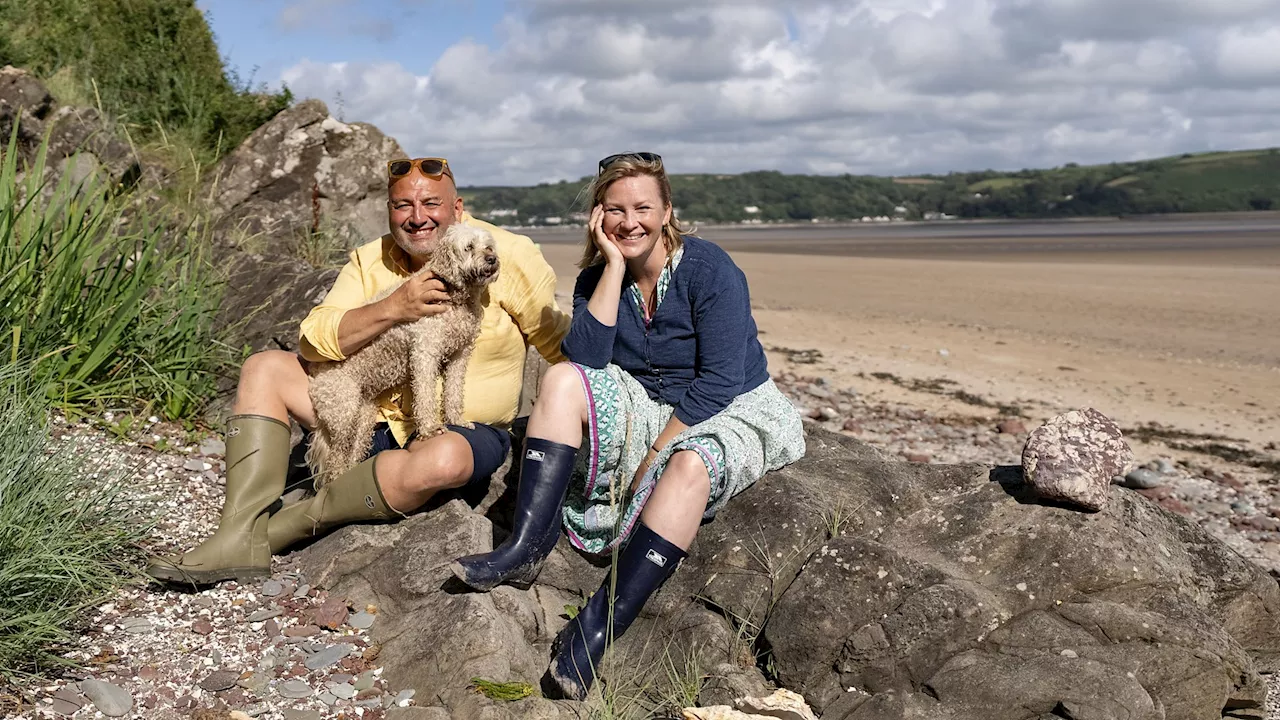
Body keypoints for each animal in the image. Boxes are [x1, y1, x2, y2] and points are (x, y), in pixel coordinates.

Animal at [304, 224, 499, 481]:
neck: (457, 298)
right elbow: (425, 395)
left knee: (352, 454)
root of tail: (315, 373)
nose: (492, 259)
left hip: (362, 417)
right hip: (342, 412)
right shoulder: (425, 351)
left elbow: (454, 392)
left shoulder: (460, 355)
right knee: (335, 460)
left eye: (489, 246)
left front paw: (457, 420)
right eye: (468, 247)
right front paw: (430, 428)